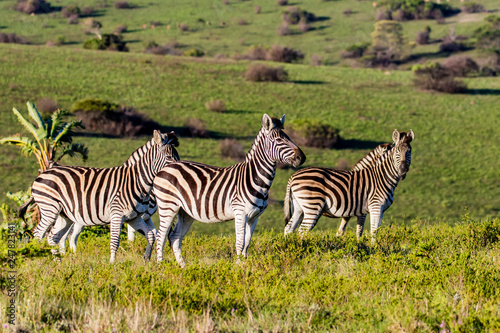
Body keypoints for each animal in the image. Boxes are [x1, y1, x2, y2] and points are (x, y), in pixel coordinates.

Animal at [23, 130, 181, 262]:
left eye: (177, 156)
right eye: (169, 157)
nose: (177, 170)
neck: (136, 181)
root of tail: (43, 173)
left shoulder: (134, 217)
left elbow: (151, 235)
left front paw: (146, 259)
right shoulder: (117, 214)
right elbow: (116, 241)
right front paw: (112, 265)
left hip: (64, 215)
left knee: (53, 237)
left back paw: (58, 262)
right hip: (50, 208)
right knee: (40, 233)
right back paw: (40, 258)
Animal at [154, 114, 306, 268]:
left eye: (288, 137)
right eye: (279, 139)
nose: (302, 157)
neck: (255, 178)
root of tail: (165, 168)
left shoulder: (255, 217)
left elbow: (247, 243)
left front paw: (244, 268)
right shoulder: (240, 213)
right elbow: (240, 243)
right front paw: (237, 268)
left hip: (185, 212)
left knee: (174, 237)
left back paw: (184, 268)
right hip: (168, 206)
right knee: (161, 236)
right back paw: (160, 267)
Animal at [284, 128, 412, 240]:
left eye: (409, 152)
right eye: (397, 152)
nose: (403, 170)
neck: (382, 176)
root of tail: (293, 176)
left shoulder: (367, 211)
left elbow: (345, 230)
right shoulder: (372, 208)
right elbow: (366, 231)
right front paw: (368, 247)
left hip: (299, 207)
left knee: (289, 228)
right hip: (312, 206)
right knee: (302, 230)